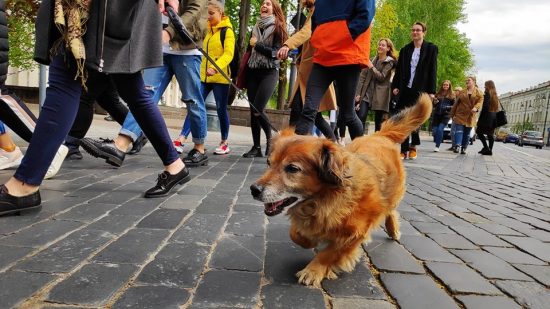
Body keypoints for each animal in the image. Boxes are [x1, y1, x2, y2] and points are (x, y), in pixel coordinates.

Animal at [251, 92, 436, 286]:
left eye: (292, 169)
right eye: (269, 163)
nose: (253, 189)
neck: (322, 200)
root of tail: (380, 135)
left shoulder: (355, 233)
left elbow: (330, 253)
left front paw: (313, 270)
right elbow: (296, 234)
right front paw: (310, 241)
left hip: (391, 194)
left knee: (390, 210)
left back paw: (393, 229)